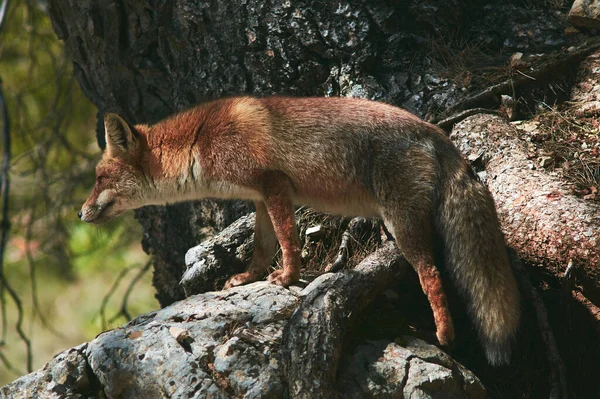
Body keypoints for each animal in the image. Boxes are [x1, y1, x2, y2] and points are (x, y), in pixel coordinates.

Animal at [78, 96, 520, 366]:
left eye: (99, 178)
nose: (80, 214)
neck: (201, 140)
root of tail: (437, 132)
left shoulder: (275, 186)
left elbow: (288, 241)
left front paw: (288, 277)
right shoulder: (259, 198)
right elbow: (261, 246)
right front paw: (247, 278)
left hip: (403, 224)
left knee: (431, 272)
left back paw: (443, 334)